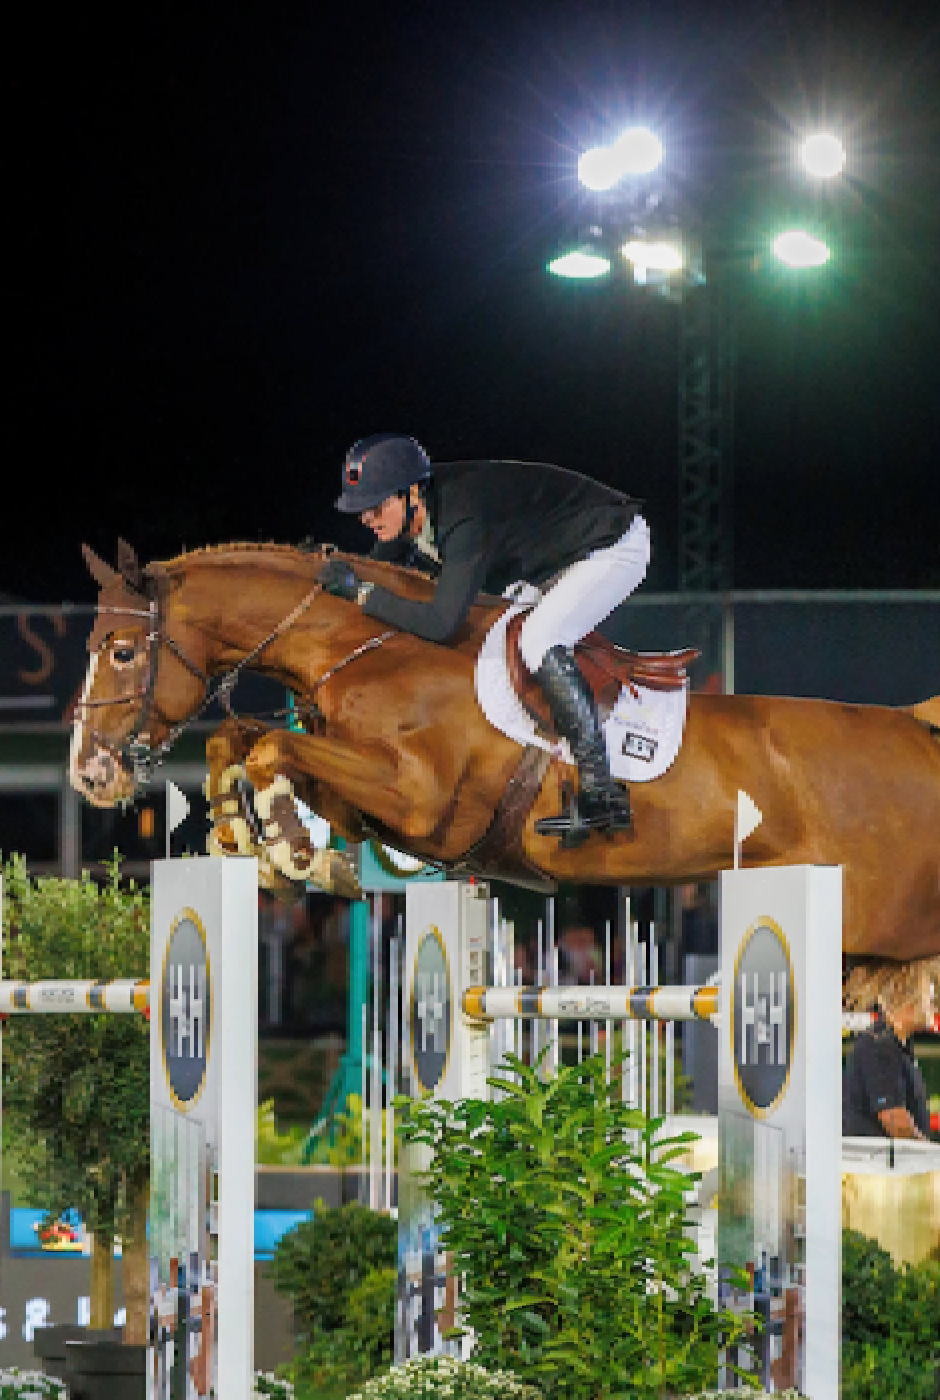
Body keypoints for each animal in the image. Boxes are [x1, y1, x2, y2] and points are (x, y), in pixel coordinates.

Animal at [69, 539, 940, 980]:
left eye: (121, 651)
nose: (90, 773)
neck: (372, 647)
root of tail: (918, 732)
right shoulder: (382, 805)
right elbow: (242, 741)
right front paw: (256, 842)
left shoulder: (419, 799)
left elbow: (271, 744)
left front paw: (293, 852)